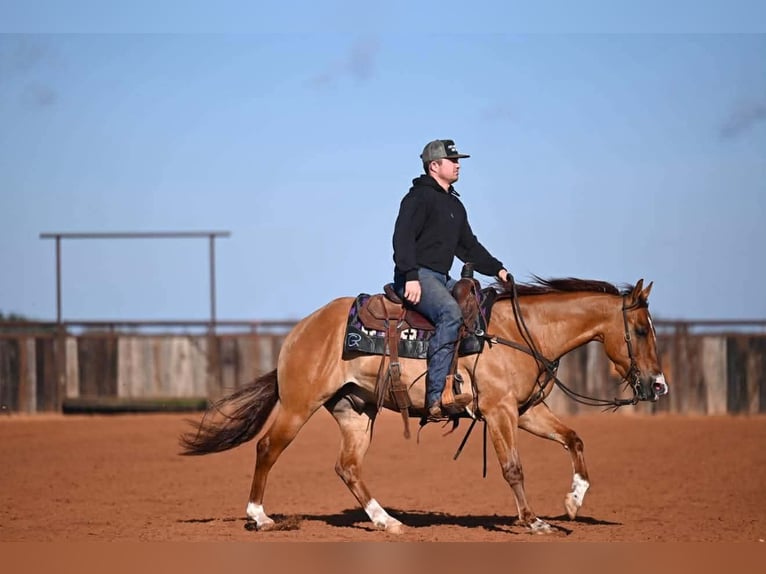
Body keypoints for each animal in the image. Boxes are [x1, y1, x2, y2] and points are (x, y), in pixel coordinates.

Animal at [179, 277, 668, 534]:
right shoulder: (500, 412)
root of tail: (302, 329)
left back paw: (386, 521)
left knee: (347, 467)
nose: (658, 385)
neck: (519, 332)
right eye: (641, 330)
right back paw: (259, 517)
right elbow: (513, 467)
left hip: (354, 411)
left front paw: (572, 501)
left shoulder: (527, 411)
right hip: (300, 404)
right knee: (267, 449)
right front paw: (533, 521)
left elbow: (574, 439)